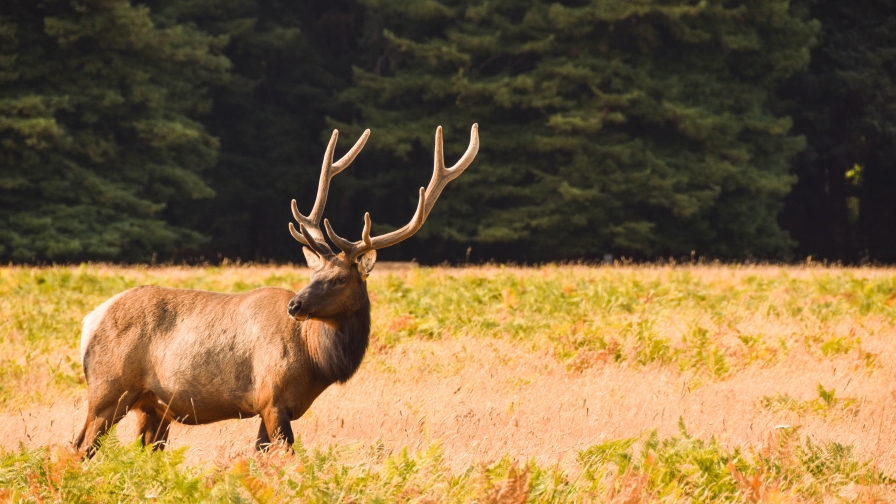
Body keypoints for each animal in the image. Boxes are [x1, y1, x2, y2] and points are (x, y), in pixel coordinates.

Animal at [74, 124, 479, 455]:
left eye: (339, 278)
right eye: (315, 274)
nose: (295, 306)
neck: (315, 360)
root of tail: (89, 321)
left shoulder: (275, 408)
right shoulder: (271, 398)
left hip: (153, 406)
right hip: (108, 389)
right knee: (79, 446)